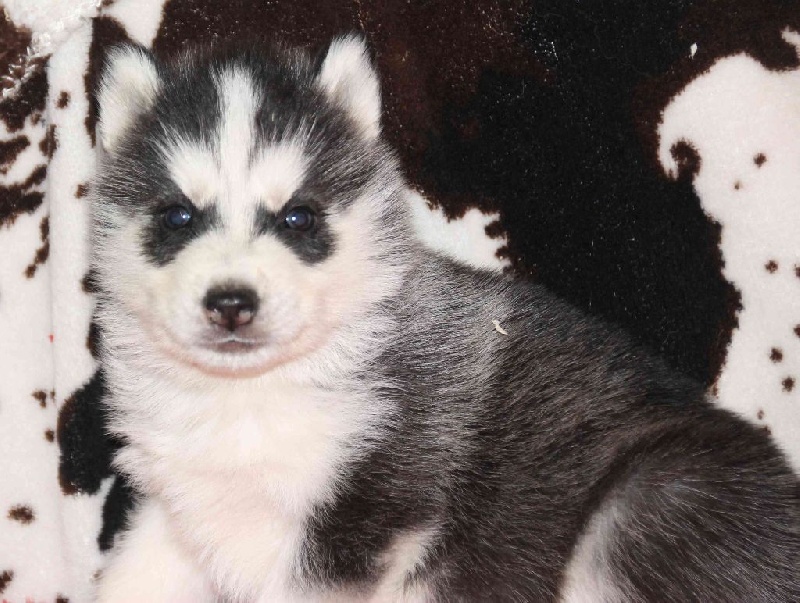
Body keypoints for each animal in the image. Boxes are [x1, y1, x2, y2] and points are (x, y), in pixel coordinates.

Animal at [90, 35, 799, 602]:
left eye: (298, 217)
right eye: (178, 216)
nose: (231, 301)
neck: (249, 395)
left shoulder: (365, 516)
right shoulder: (177, 509)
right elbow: (133, 575)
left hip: (652, 505)